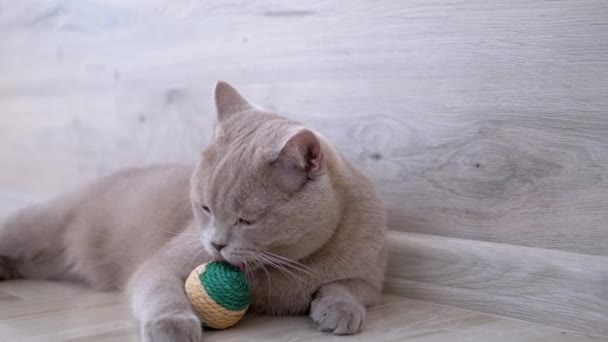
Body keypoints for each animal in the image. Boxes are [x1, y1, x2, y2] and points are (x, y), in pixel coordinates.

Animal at [0, 81, 388, 340]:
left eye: (247, 219)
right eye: (204, 207)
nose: (216, 244)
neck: (290, 267)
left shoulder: (370, 278)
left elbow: (345, 287)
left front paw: (339, 309)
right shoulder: (163, 263)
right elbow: (161, 291)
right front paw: (172, 324)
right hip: (34, 225)